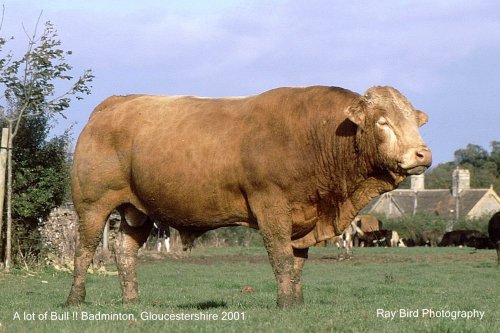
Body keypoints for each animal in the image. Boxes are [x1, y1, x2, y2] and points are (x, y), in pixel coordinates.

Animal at [66, 85, 432, 306]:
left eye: (415, 122)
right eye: (383, 122)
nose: (422, 154)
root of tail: (113, 103)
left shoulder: (304, 217)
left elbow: (297, 262)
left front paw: (296, 302)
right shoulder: (271, 207)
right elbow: (281, 257)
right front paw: (285, 303)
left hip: (137, 210)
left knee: (124, 251)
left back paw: (132, 301)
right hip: (92, 205)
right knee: (84, 251)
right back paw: (75, 299)